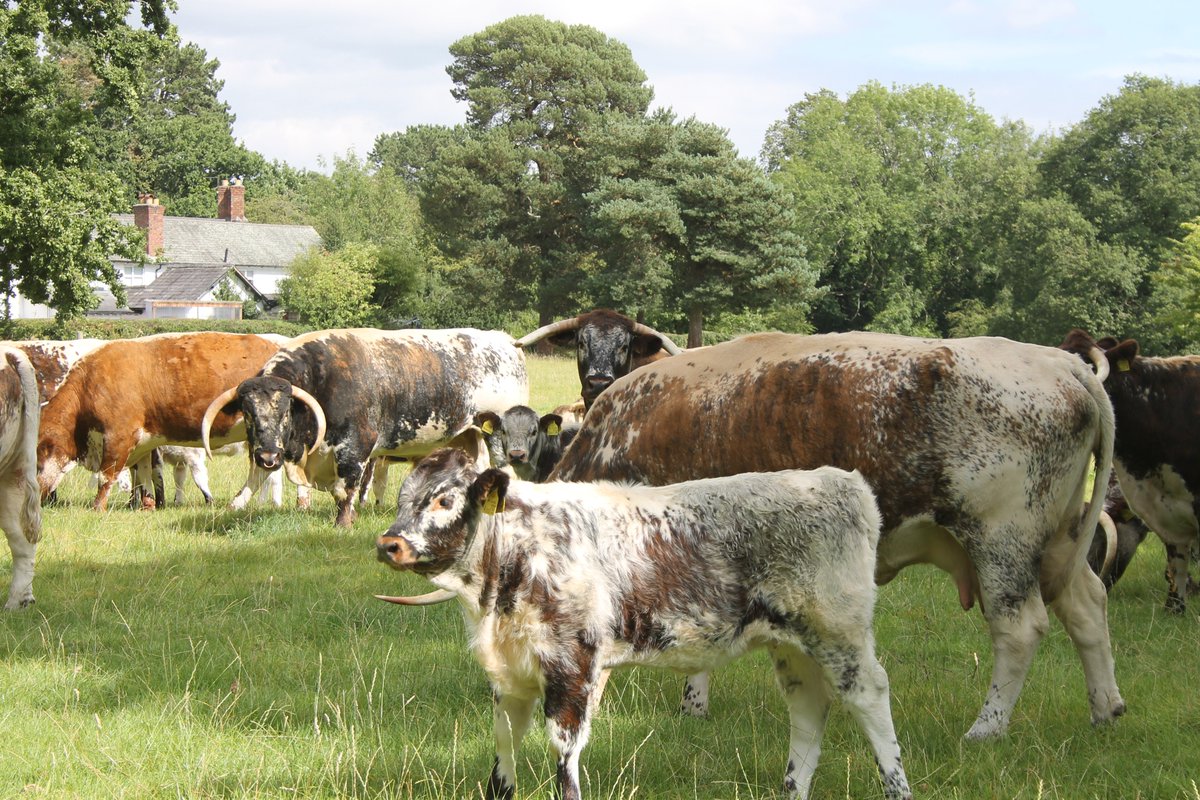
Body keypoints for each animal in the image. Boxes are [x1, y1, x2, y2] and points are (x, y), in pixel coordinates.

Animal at [36, 332, 283, 510]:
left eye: (36, 463)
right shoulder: (144, 442)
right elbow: (145, 474)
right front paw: (147, 505)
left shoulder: (118, 437)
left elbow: (106, 477)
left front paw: (97, 508)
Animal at [201, 328, 529, 527]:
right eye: (249, 414)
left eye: (284, 412)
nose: (268, 456)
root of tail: (504, 341)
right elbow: (251, 483)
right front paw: (233, 508)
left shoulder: (355, 448)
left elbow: (343, 490)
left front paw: (344, 523)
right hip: (468, 435)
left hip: (498, 435)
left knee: (506, 471)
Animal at [374, 447, 912, 800]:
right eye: (403, 497)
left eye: (445, 501)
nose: (388, 544)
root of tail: (842, 481)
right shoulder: (510, 675)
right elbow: (504, 747)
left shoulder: (572, 668)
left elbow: (564, 754)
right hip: (793, 645)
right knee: (808, 709)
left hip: (840, 633)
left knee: (870, 697)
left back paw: (897, 788)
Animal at [550, 331, 1123, 741]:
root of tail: (1066, 364)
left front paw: (692, 704)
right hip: (1058, 541)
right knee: (1087, 606)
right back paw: (1105, 708)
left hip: (1003, 544)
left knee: (1020, 628)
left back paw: (986, 729)